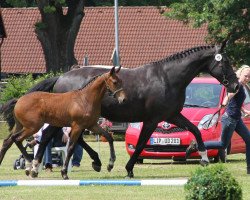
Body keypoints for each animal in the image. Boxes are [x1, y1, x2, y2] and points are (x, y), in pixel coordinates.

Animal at [0, 45, 238, 178]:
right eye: (225, 62)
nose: (235, 86)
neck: (167, 78)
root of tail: (61, 77)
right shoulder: (152, 120)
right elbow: (141, 144)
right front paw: (129, 168)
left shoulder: (171, 116)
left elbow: (195, 131)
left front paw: (203, 156)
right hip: (67, 119)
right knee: (54, 136)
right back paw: (39, 165)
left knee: (58, 137)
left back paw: (40, 166)